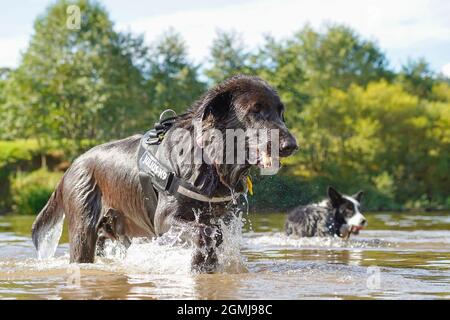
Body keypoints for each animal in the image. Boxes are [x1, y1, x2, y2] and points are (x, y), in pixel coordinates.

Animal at [32, 75, 298, 272]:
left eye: (280, 112)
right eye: (255, 110)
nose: (291, 145)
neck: (208, 160)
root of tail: (71, 167)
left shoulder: (225, 216)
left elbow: (215, 233)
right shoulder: (165, 221)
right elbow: (205, 231)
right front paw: (200, 262)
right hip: (83, 229)